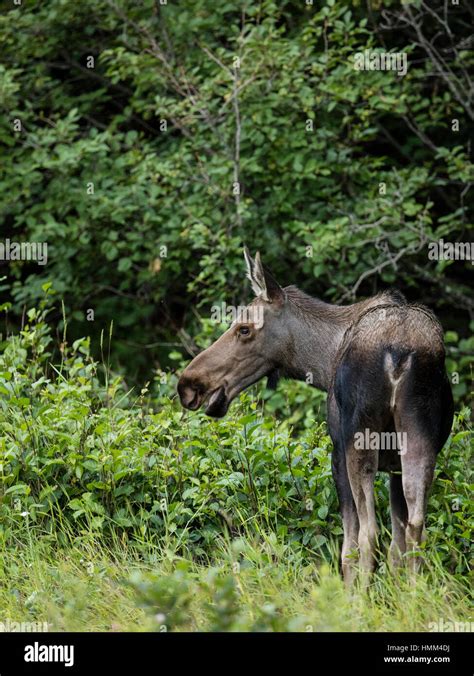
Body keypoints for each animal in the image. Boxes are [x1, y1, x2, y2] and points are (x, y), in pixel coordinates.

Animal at [177, 248, 452, 580]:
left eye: (244, 328)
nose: (189, 385)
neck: (322, 362)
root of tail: (399, 354)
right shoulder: (394, 467)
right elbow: (397, 547)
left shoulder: (337, 451)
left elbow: (348, 549)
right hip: (418, 440)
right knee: (415, 528)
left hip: (359, 440)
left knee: (368, 534)